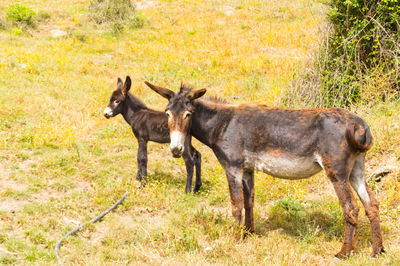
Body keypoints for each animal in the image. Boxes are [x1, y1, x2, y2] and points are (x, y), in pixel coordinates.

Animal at [145, 82, 386, 258]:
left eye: (188, 114)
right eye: (167, 113)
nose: (176, 150)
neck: (222, 123)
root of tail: (358, 123)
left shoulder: (232, 168)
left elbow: (236, 205)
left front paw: (234, 239)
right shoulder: (247, 170)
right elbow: (249, 202)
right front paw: (248, 234)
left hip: (336, 173)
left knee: (351, 208)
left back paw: (344, 252)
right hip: (356, 170)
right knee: (371, 204)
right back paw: (377, 250)